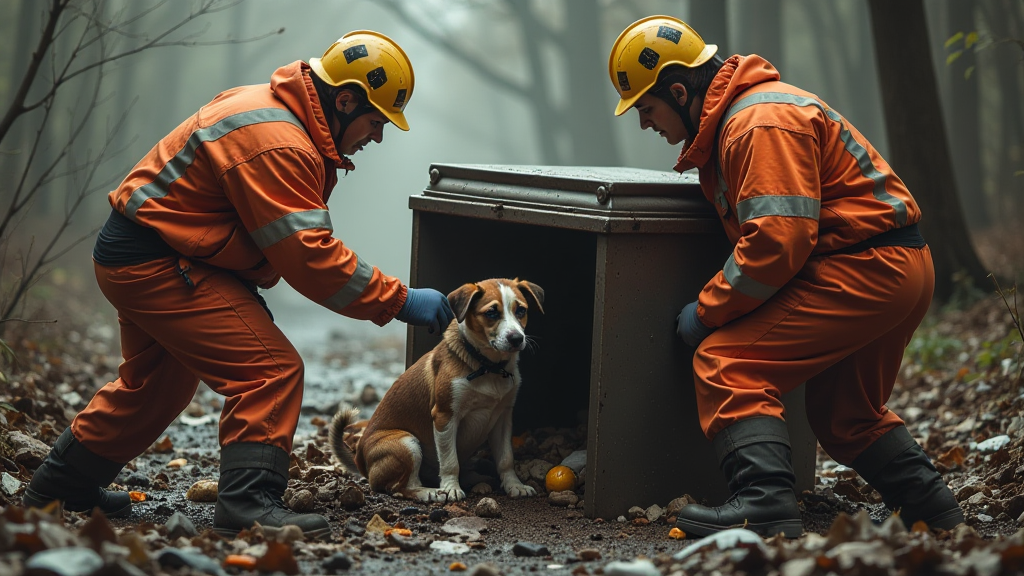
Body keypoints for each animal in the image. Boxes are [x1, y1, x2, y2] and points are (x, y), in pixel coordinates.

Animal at [331, 276, 548, 498]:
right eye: (491, 313)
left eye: (520, 310)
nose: (517, 339)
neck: (488, 367)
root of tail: (359, 459)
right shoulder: (445, 416)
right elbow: (450, 461)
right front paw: (451, 488)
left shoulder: (503, 417)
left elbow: (506, 459)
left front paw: (515, 485)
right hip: (406, 442)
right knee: (399, 487)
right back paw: (429, 493)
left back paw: (476, 480)